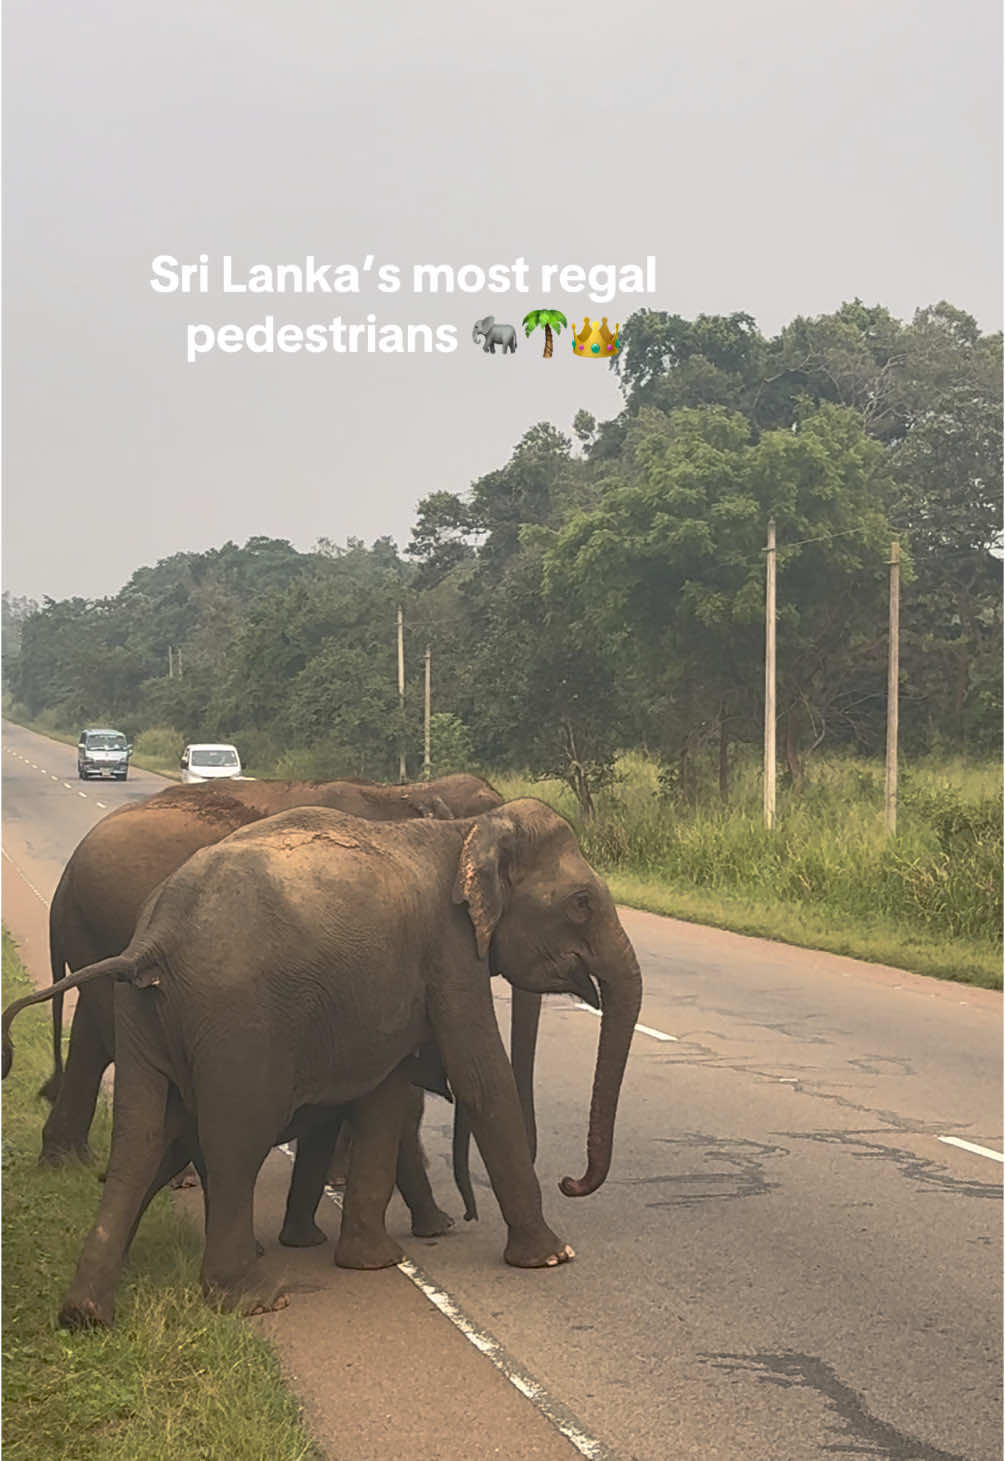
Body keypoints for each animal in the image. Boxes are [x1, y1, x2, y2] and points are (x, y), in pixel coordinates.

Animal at [1, 794, 642, 1332]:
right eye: (582, 904)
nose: (570, 1181)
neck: (462, 831)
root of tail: (152, 940)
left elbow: (388, 1093)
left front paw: (372, 1260)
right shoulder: (449, 949)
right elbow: (481, 1073)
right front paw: (552, 1257)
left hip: (143, 1013)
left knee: (143, 1138)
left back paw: (86, 1314)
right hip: (238, 1022)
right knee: (233, 1140)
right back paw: (253, 1298)